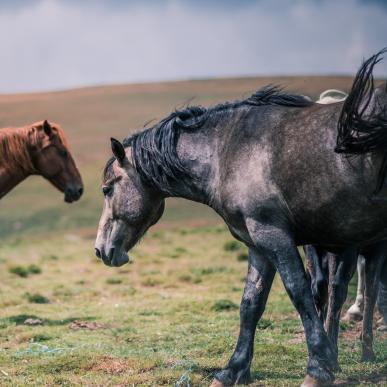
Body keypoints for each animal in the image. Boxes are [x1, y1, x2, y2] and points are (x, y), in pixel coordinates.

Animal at [94, 50, 387, 386]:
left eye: (106, 189)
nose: (100, 249)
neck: (227, 151)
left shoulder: (273, 235)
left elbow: (299, 293)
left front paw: (318, 367)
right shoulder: (258, 244)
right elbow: (251, 304)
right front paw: (232, 369)